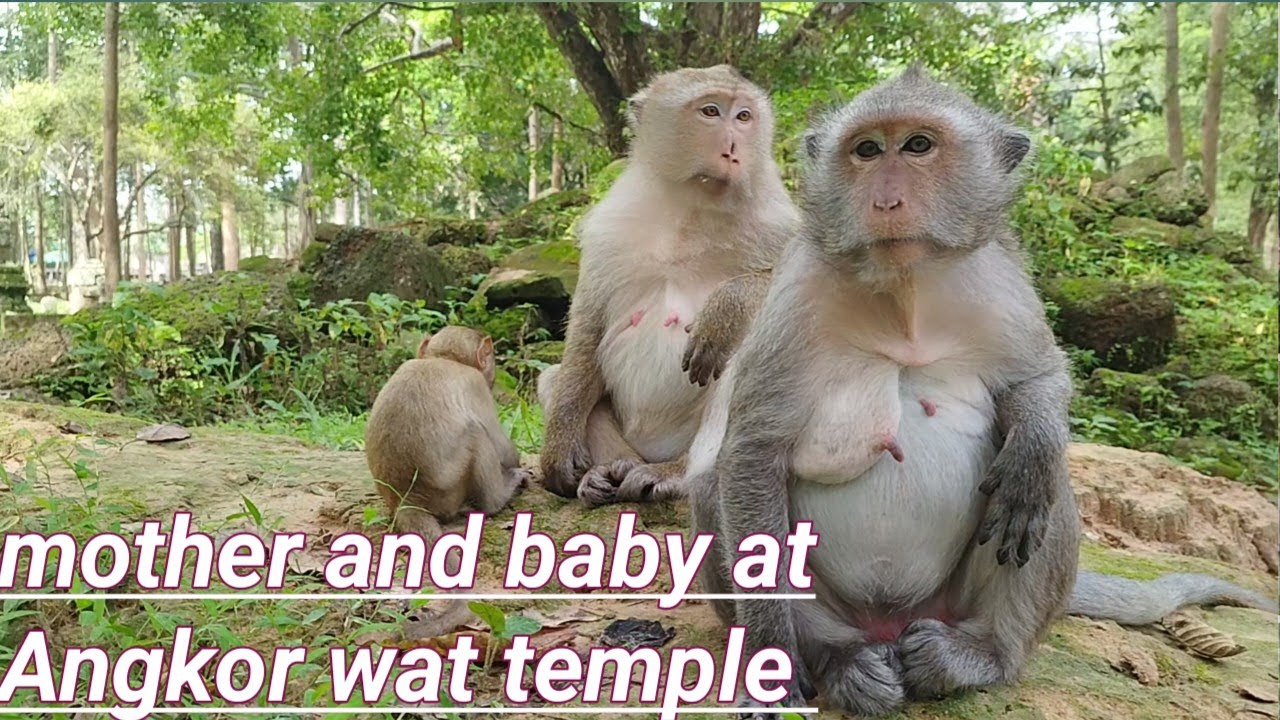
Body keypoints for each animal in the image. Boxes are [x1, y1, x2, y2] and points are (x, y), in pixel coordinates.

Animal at [366, 325, 531, 542]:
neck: (444, 358)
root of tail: (407, 500)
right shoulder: (476, 383)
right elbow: (503, 448)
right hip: (449, 491)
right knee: (477, 434)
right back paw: (497, 499)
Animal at [538, 65, 799, 508]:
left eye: (744, 116)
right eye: (711, 111)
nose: (734, 148)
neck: (692, 206)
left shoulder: (778, 219)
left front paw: (723, 311)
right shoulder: (610, 227)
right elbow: (588, 330)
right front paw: (559, 447)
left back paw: (675, 475)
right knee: (553, 378)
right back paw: (611, 470)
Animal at [686, 68, 1279, 718]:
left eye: (918, 146)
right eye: (866, 150)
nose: (885, 202)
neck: (906, 293)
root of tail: (890, 626)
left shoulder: (1001, 281)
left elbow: (1038, 378)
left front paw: (1033, 445)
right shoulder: (795, 297)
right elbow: (754, 451)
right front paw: (770, 662)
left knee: (1048, 492)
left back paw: (981, 653)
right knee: (714, 488)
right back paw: (839, 661)